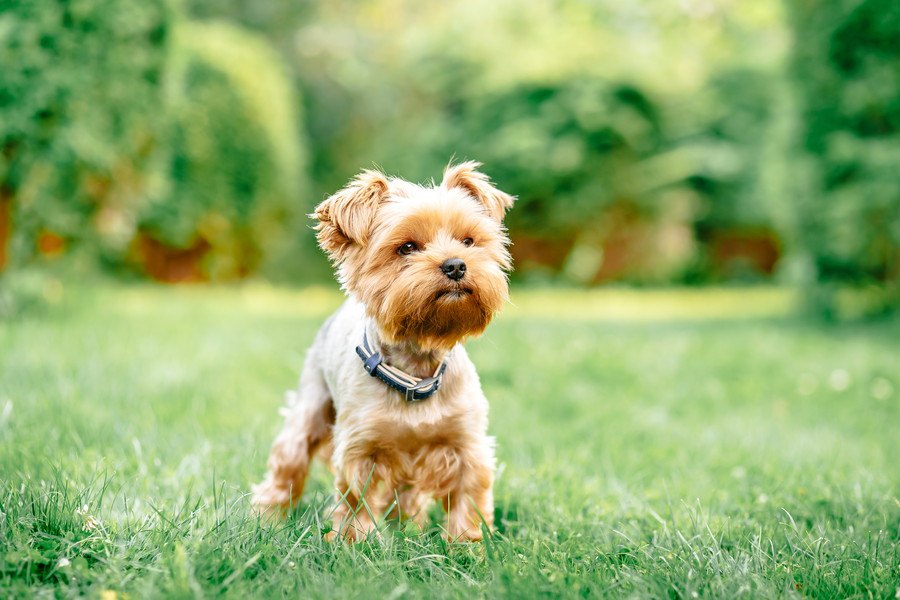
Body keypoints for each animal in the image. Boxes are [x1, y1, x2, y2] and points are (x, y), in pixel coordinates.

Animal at [251, 162, 512, 540]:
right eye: (407, 247)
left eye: (469, 240)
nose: (456, 264)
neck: (416, 369)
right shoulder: (362, 445)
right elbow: (357, 500)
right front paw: (355, 543)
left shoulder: (466, 444)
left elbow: (468, 497)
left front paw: (466, 545)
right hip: (309, 406)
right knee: (289, 462)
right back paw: (268, 517)